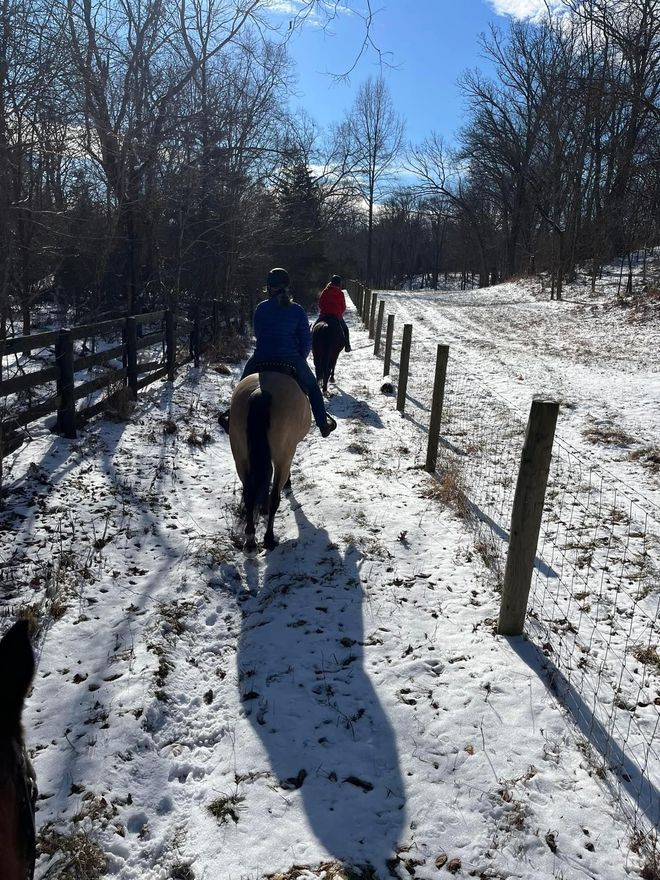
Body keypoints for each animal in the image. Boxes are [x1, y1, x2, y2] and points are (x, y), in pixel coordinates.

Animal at [229, 370, 312, 552]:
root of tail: (260, 393)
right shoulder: (288, 452)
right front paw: (288, 482)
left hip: (240, 456)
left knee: (249, 494)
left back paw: (250, 541)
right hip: (282, 456)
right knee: (274, 497)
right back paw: (269, 538)